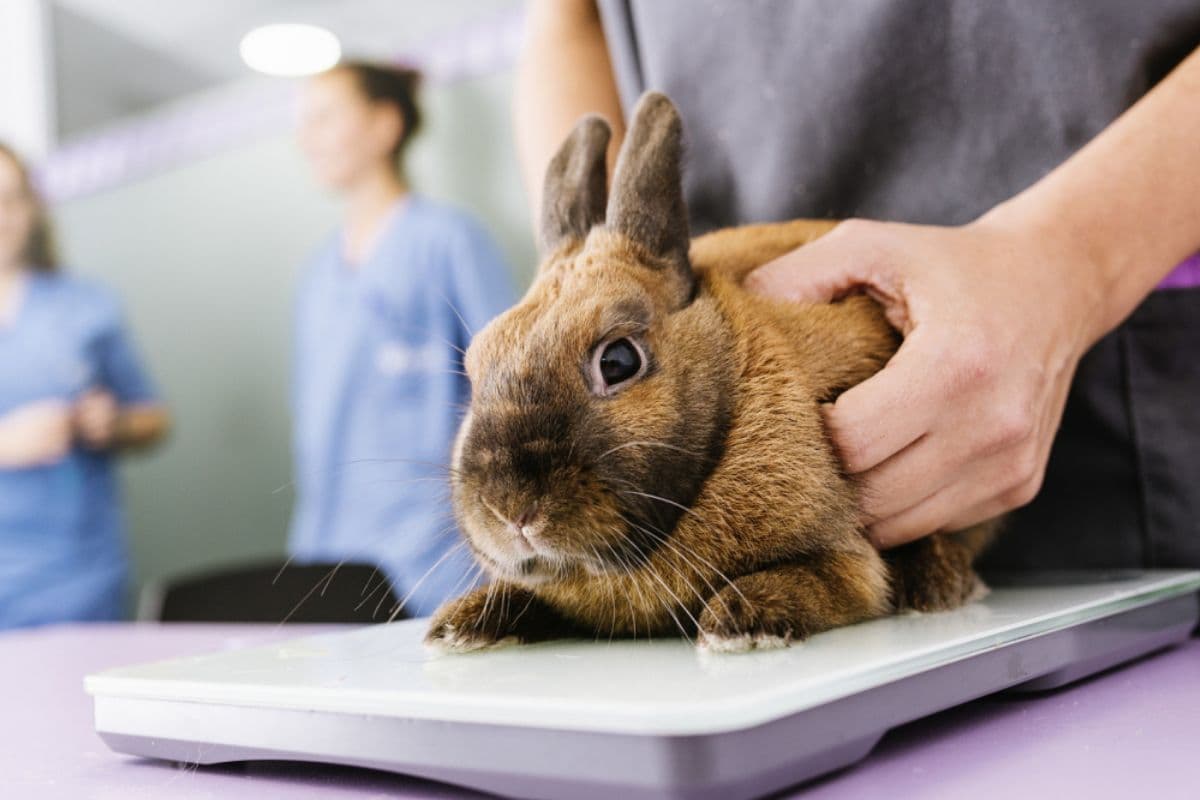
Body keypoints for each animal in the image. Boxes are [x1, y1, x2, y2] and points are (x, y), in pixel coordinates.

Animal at [425, 92, 996, 654]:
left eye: (618, 361)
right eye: (476, 368)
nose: (512, 512)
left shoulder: (847, 563)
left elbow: (820, 581)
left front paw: (738, 622)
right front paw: (460, 625)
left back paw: (939, 585)